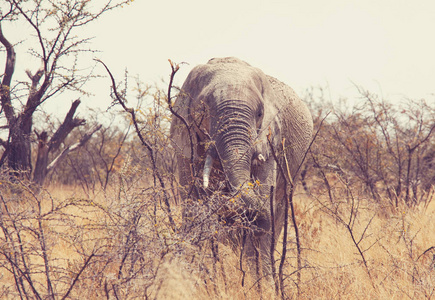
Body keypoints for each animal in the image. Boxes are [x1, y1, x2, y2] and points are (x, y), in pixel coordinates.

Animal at [169, 56, 314, 282]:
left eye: (260, 113)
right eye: (204, 110)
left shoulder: (270, 141)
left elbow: (265, 199)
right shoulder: (186, 142)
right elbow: (192, 207)